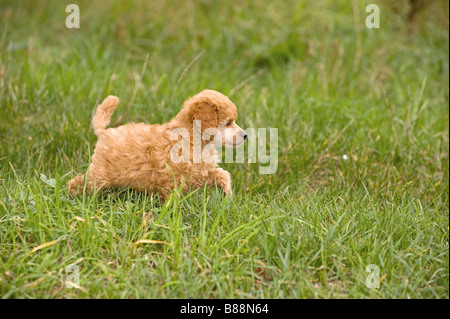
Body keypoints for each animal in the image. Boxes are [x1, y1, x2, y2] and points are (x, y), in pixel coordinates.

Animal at [67, 89, 246, 200]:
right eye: (228, 123)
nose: (245, 135)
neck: (194, 140)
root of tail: (104, 132)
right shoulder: (171, 179)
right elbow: (172, 197)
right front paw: (175, 215)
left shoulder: (200, 172)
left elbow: (222, 174)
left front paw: (227, 194)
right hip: (101, 175)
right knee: (79, 182)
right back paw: (74, 198)